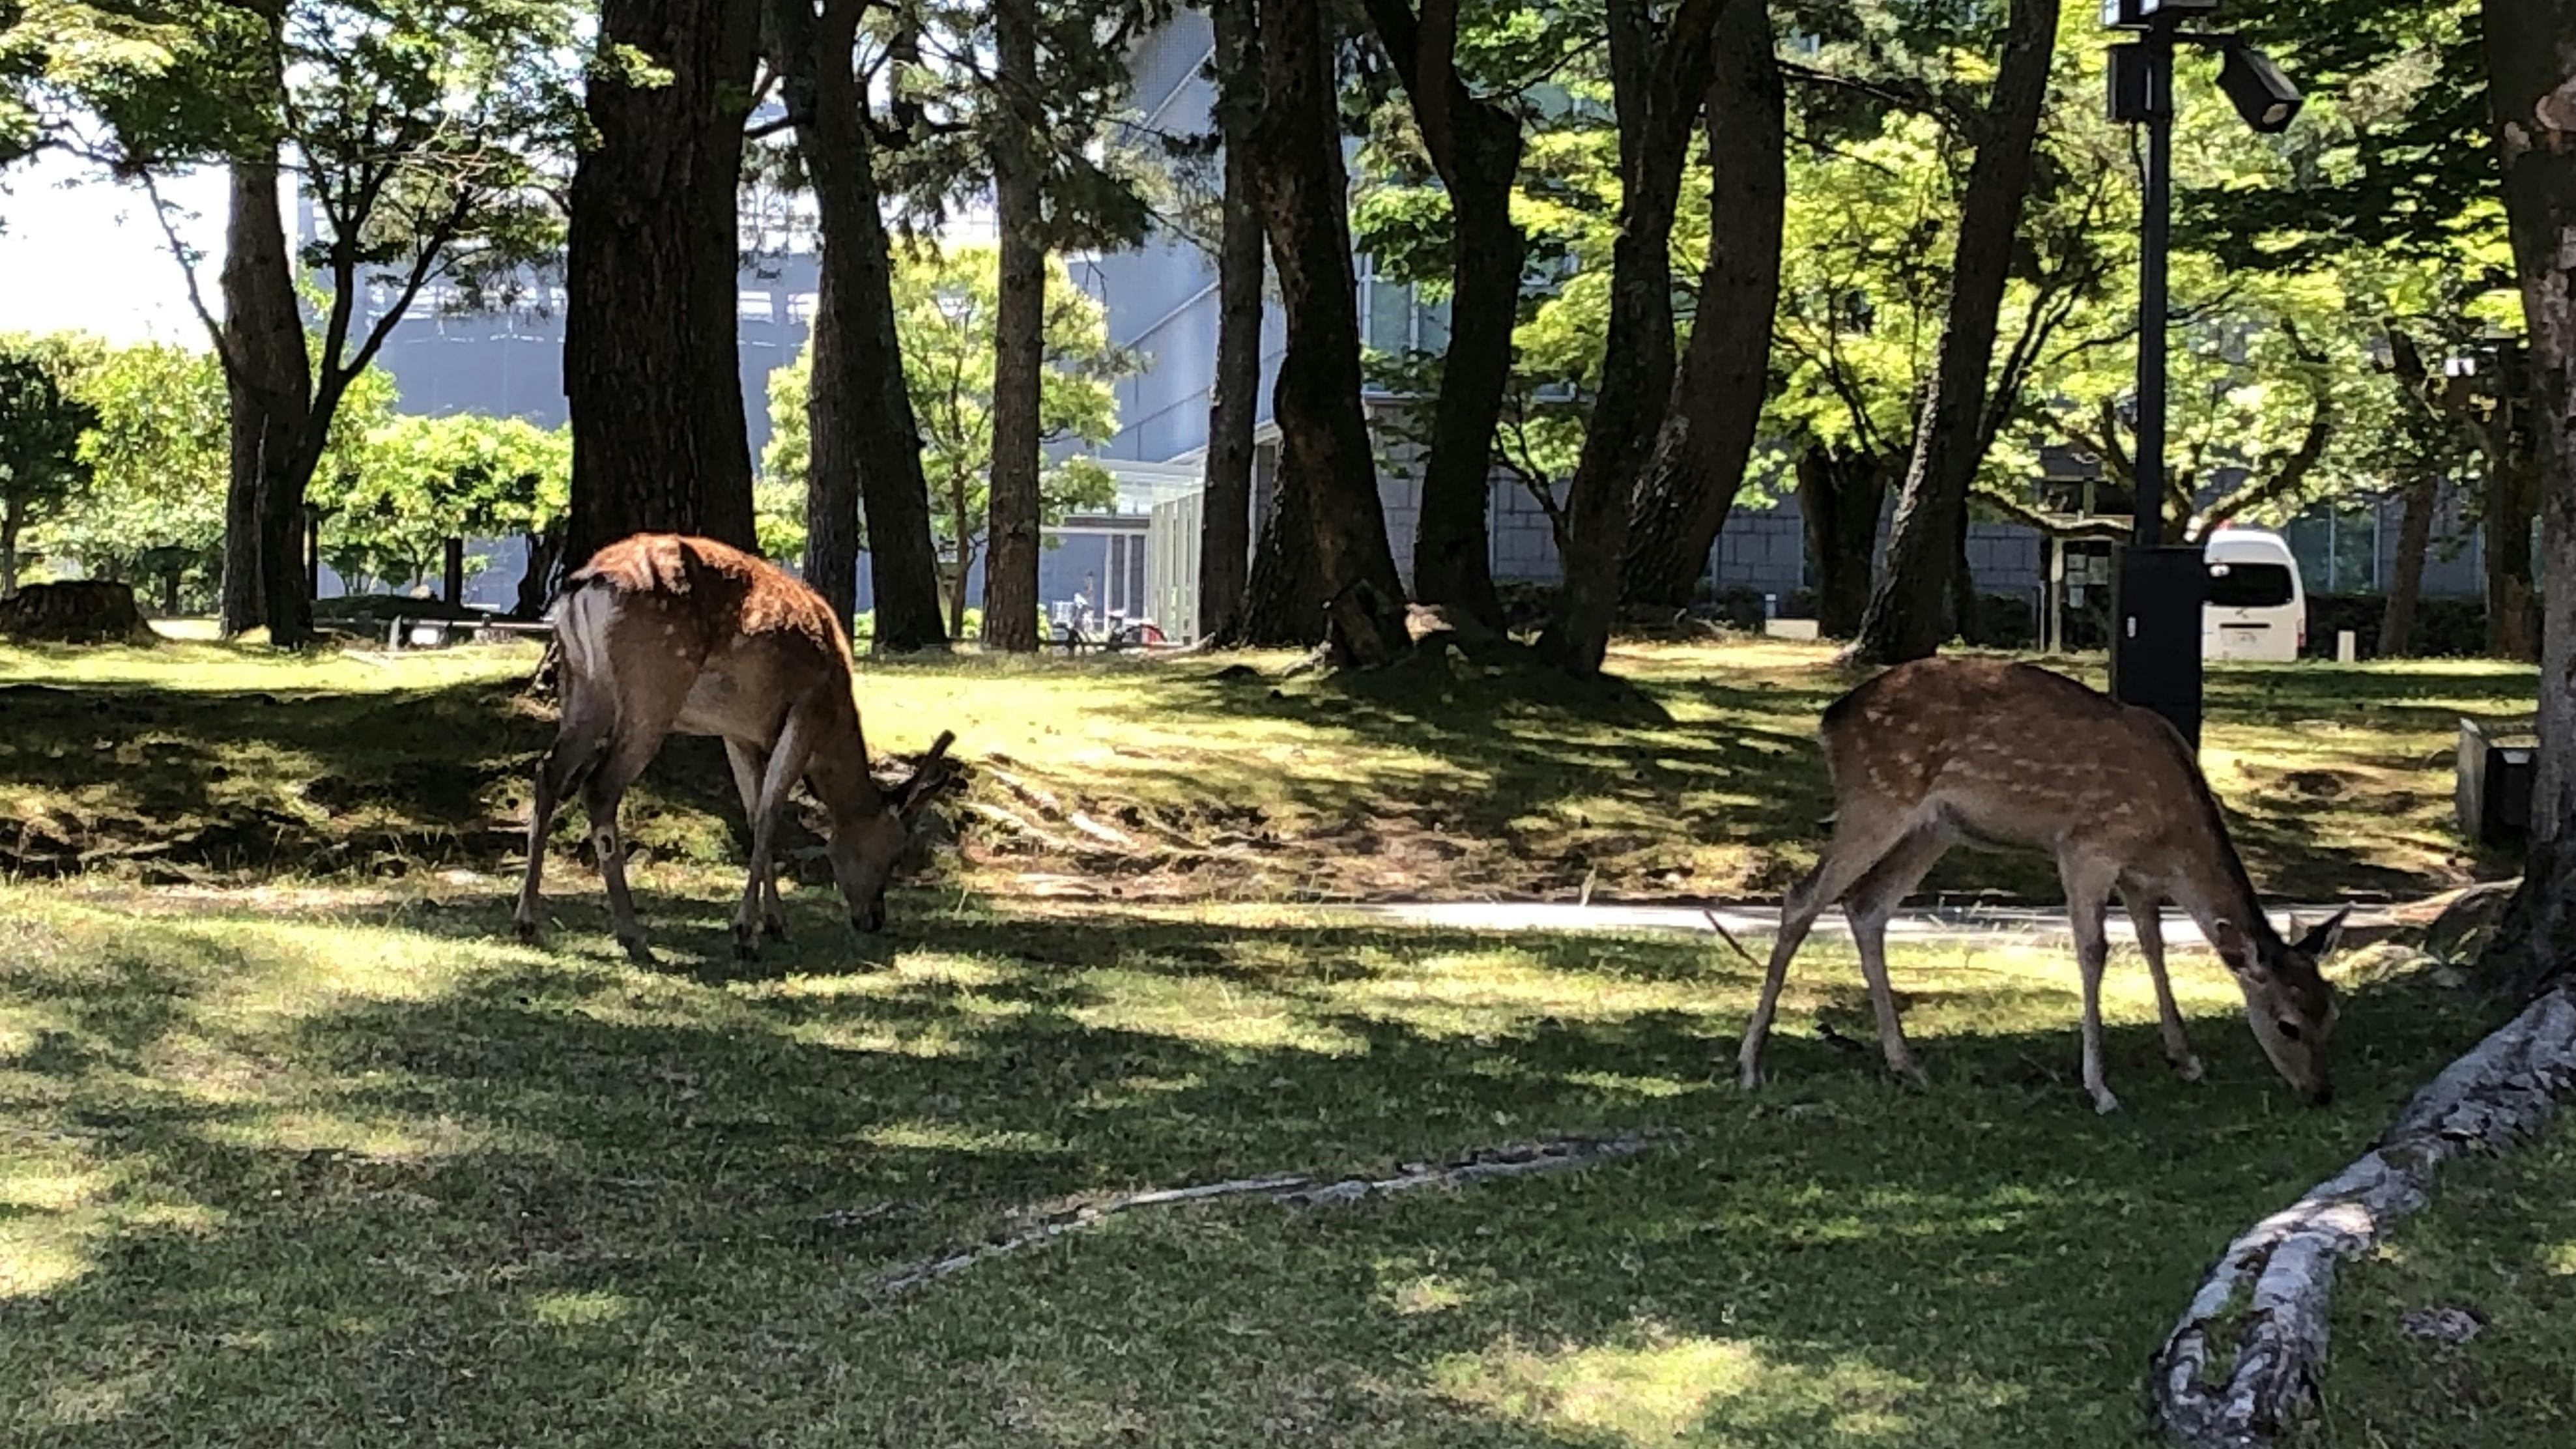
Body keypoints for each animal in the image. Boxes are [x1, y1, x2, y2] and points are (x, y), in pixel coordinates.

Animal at [507, 531, 963, 959]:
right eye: (895, 850)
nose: (874, 918)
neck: (838, 716)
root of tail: (582, 587)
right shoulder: (806, 712)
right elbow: (770, 813)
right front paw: (746, 933)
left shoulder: (738, 733)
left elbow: (753, 810)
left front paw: (775, 923)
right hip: (653, 689)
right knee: (599, 786)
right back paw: (632, 935)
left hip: (584, 688)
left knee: (549, 771)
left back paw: (527, 921)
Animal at [1741, 655, 2349, 1103]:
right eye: (2288, 1024)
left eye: (2332, 1013)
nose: (2321, 1092)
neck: (2170, 837)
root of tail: (1831, 720)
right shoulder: (2086, 847)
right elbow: (2094, 952)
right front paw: (2100, 1087)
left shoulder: (2138, 876)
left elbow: (2153, 947)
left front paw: (2185, 1058)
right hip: (1876, 800)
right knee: (1802, 899)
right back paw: (1750, 1063)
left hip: (1935, 827)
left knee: (1868, 905)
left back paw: (1906, 1065)